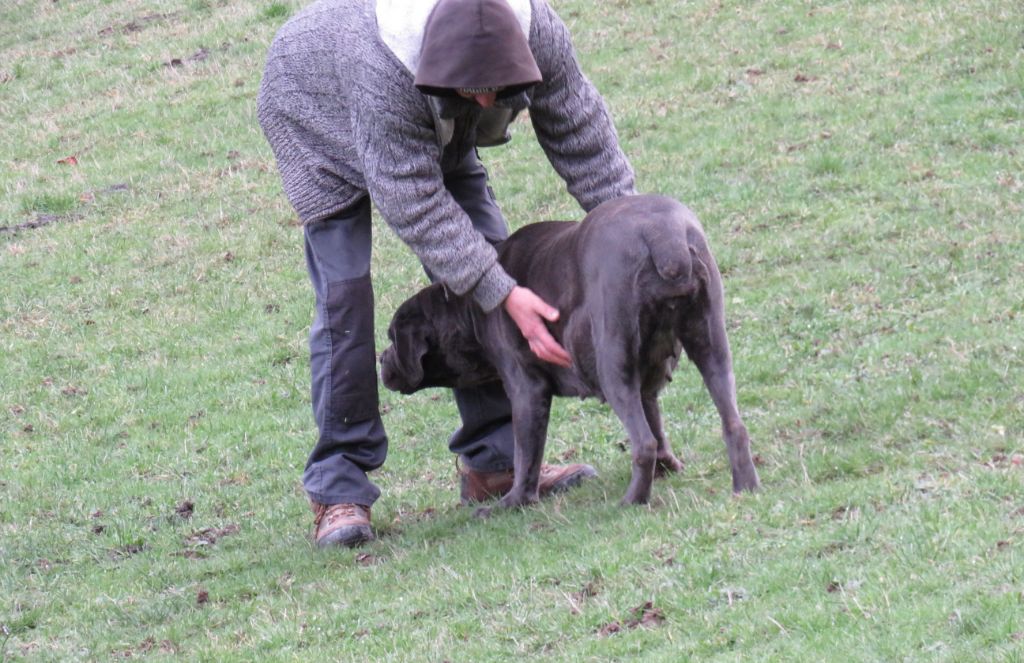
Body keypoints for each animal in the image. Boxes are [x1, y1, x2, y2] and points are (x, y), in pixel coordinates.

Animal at [380, 194, 757, 510]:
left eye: (392, 337)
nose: (381, 360)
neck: (469, 308)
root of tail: (666, 239)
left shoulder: (527, 389)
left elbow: (525, 455)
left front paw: (514, 502)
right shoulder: (646, 381)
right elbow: (657, 425)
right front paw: (668, 468)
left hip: (613, 365)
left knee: (642, 445)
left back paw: (631, 502)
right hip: (711, 346)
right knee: (733, 423)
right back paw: (745, 487)